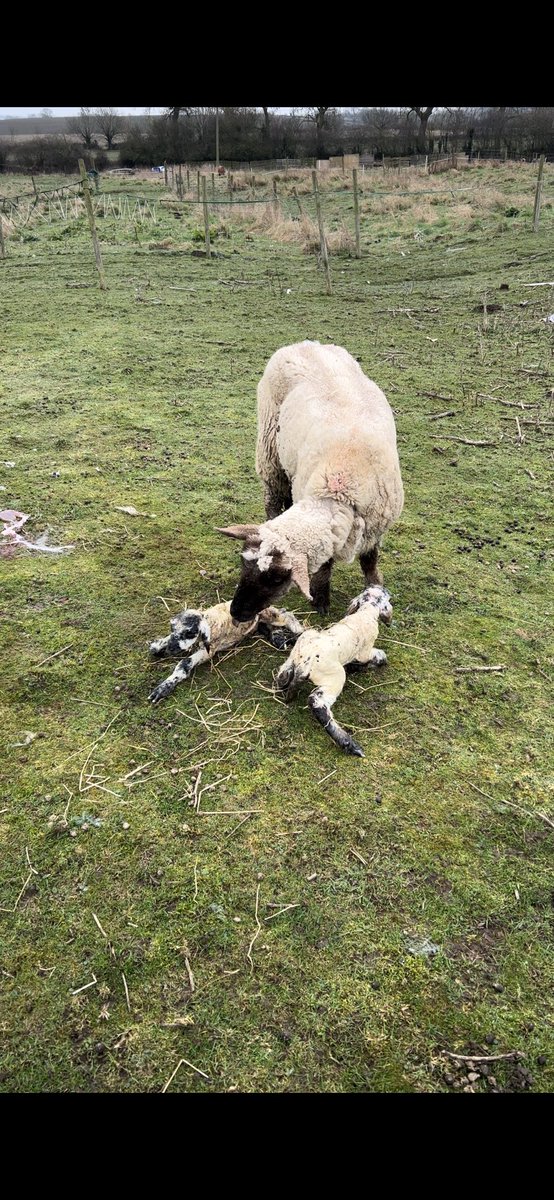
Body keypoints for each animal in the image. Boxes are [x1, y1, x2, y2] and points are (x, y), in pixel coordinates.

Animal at [146, 600, 303, 700]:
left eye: (189, 632)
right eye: (172, 629)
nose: (171, 649)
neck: (208, 620)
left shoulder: (209, 650)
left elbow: (185, 663)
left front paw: (163, 688)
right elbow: (157, 646)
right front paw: (158, 646)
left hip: (271, 614)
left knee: (285, 614)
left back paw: (296, 630)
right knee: (265, 625)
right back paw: (278, 639)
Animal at [215, 338, 402, 619]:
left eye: (277, 579)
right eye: (242, 562)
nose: (236, 612)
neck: (340, 488)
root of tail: (303, 343)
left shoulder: (377, 525)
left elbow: (370, 560)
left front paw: (374, 586)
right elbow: (325, 565)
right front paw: (321, 599)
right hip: (270, 452)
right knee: (272, 501)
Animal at [274, 583, 390, 758]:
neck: (365, 612)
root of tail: (305, 662)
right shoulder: (365, 651)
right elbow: (377, 656)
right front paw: (375, 661)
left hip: (299, 648)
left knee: (283, 675)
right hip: (334, 678)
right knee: (317, 703)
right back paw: (349, 744)